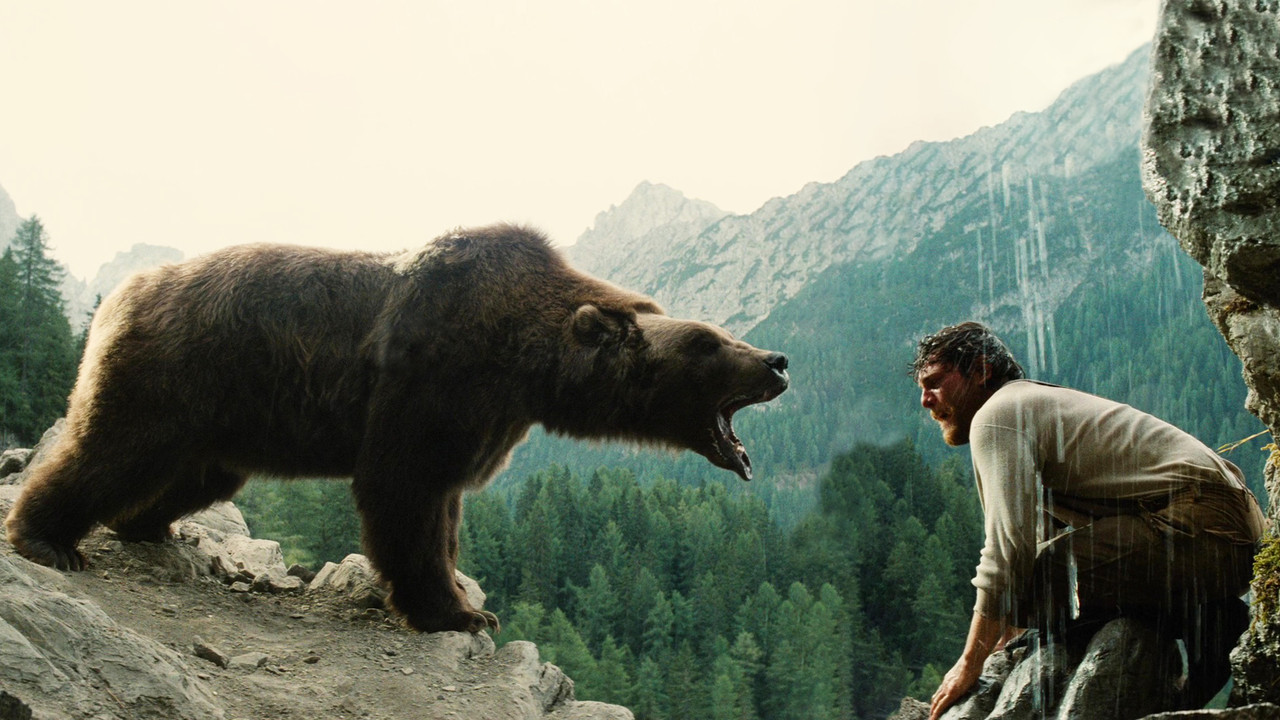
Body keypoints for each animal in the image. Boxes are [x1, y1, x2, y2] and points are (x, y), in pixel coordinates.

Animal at [4, 223, 789, 633]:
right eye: (709, 343)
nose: (778, 361)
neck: (528, 361)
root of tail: (127, 289)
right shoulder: (431, 377)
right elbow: (405, 494)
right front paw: (454, 612)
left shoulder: (484, 417)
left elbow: (445, 504)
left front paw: (469, 602)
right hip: (178, 372)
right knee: (111, 449)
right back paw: (48, 539)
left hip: (227, 418)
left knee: (190, 476)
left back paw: (149, 526)